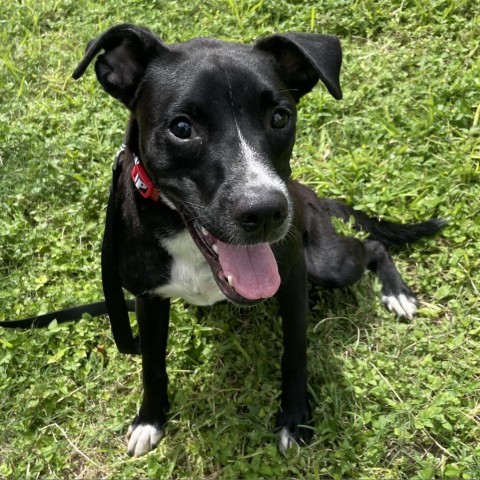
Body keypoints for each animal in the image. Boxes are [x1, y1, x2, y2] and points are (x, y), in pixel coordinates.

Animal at [72, 25, 446, 458]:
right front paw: (150, 419)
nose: (266, 211)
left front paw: (295, 418)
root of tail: (307, 193)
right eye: (181, 128)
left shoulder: (293, 276)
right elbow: (151, 363)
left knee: (372, 246)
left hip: (327, 263)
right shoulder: (148, 298)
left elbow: (294, 353)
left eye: (279, 117)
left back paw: (396, 293)